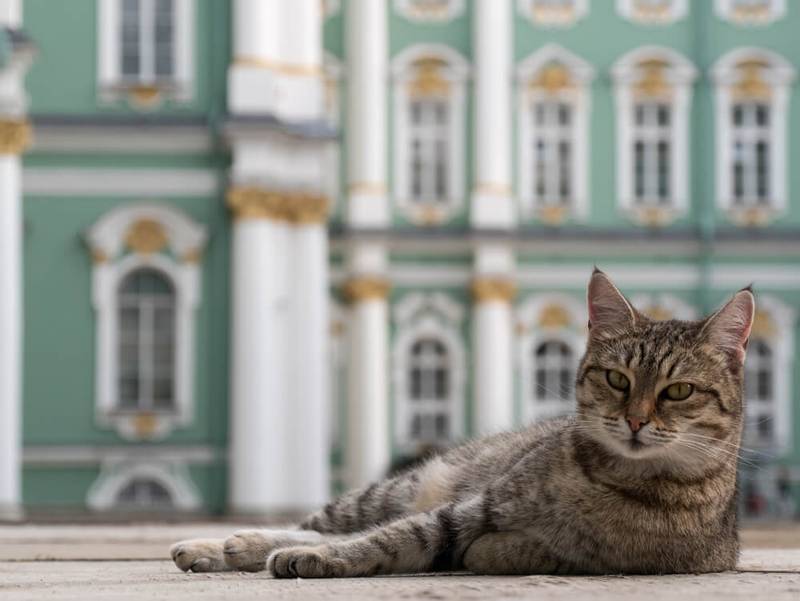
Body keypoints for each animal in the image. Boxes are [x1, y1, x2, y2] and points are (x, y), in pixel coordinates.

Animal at [172, 270, 752, 576]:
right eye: (616, 379)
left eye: (678, 390)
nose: (633, 420)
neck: (612, 479)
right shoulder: (471, 507)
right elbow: (386, 539)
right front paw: (315, 556)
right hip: (397, 489)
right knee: (326, 523)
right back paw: (222, 545)